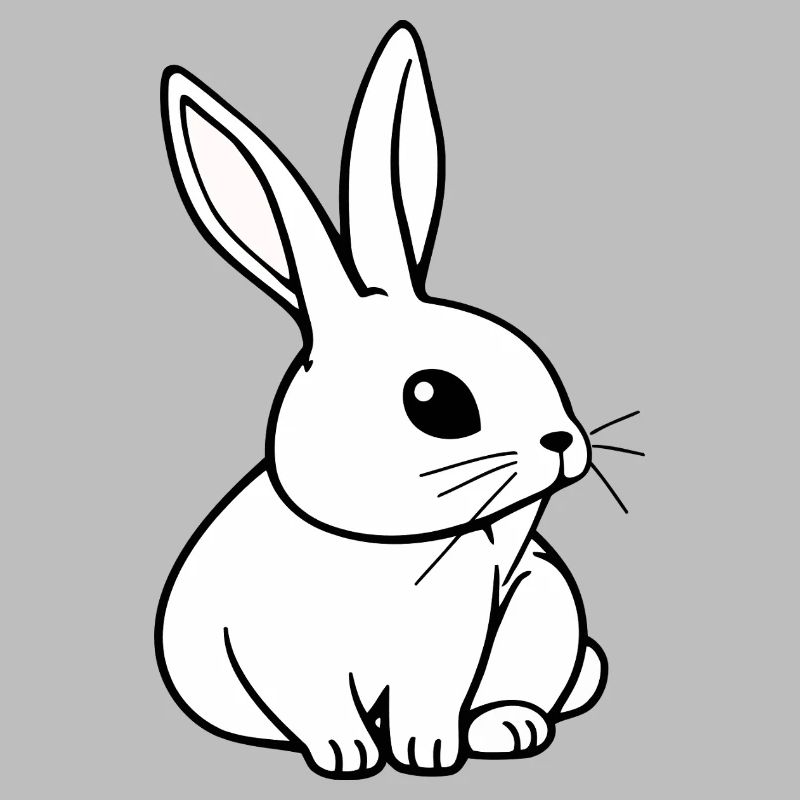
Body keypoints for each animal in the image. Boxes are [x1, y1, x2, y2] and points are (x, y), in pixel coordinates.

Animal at [155, 20, 607, 779]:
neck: (380, 549)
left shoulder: (447, 650)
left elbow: (429, 705)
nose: (563, 442)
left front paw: (429, 757)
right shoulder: (284, 655)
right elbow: (319, 708)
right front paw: (346, 757)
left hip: (543, 604)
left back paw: (507, 726)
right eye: (432, 398)